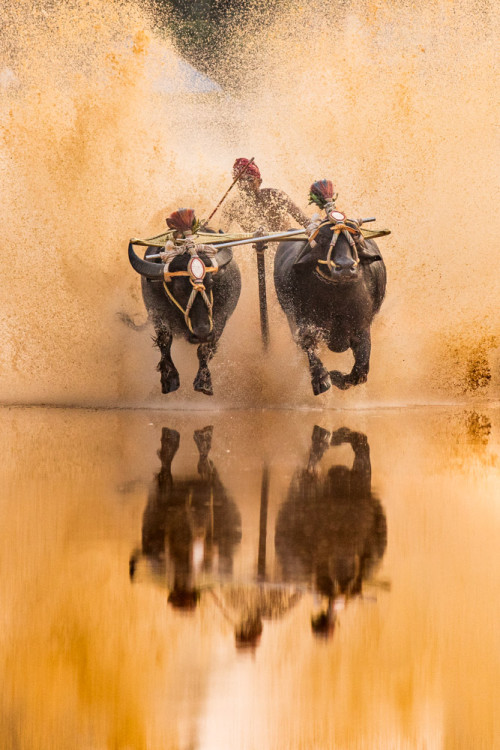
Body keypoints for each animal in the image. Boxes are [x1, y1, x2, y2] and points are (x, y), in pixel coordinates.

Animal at [127, 209, 240, 396]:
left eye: (210, 283)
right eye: (179, 290)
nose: (201, 333)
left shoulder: (220, 317)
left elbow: (205, 349)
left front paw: (204, 382)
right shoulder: (157, 312)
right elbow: (165, 341)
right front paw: (169, 379)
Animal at [274, 216, 386, 396]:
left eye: (355, 236)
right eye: (322, 238)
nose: (345, 267)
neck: (337, 299)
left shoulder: (361, 328)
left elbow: (360, 372)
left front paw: (335, 375)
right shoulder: (304, 325)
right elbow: (309, 347)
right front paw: (322, 380)